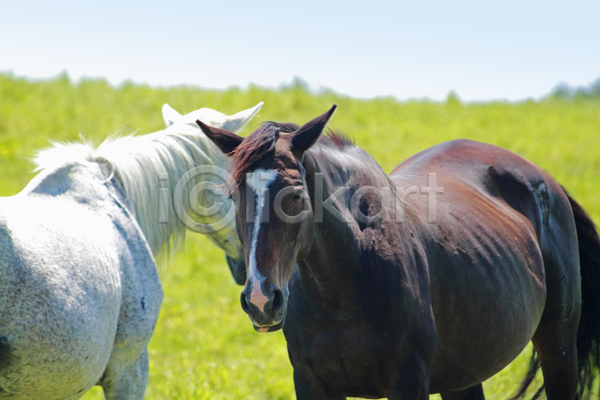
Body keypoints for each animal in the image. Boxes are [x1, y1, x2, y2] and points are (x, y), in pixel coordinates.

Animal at [197, 107, 600, 400]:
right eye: (233, 196)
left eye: (295, 195)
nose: (261, 300)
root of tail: (545, 180)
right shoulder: (311, 383)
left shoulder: (408, 381)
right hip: (465, 372)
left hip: (559, 346)